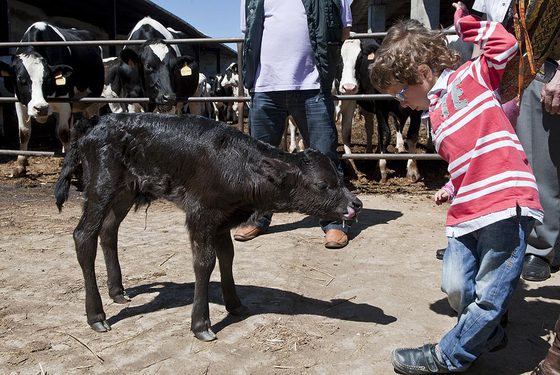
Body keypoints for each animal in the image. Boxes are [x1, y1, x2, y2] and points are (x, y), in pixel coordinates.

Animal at [0, 21, 104, 177]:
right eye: (21, 80)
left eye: (48, 79)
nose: (41, 108)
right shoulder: (20, 102)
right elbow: (24, 132)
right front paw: (21, 165)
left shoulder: (65, 102)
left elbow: (63, 133)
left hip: (93, 101)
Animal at [55, 113, 364, 342]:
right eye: (322, 185)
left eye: (340, 178)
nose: (355, 204)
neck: (238, 167)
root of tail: (97, 122)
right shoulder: (201, 215)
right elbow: (204, 263)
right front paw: (201, 324)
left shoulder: (222, 220)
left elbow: (227, 257)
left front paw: (235, 304)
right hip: (100, 184)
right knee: (83, 235)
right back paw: (97, 316)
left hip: (127, 189)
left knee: (108, 230)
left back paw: (118, 291)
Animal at [336, 38, 420, 184]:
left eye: (360, 57)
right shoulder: (380, 107)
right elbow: (385, 135)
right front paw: (381, 170)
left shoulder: (417, 111)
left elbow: (412, 136)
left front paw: (412, 169)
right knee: (371, 129)